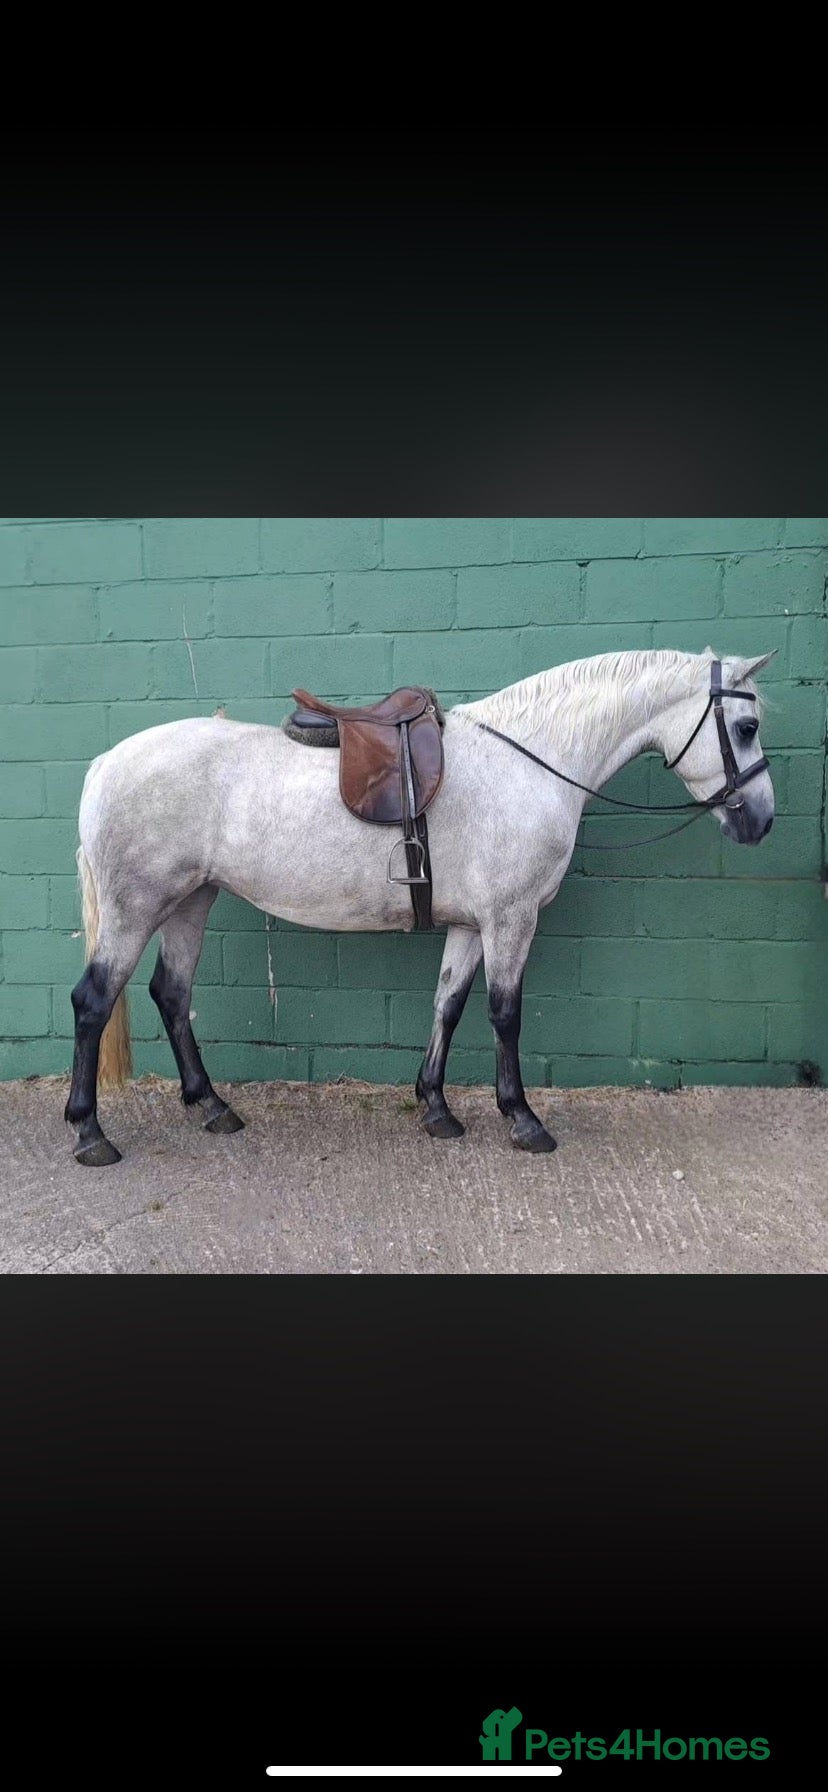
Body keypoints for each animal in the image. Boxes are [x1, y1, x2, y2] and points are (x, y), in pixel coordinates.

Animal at [65, 646, 775, 1166]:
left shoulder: (470, 924)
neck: (528, 763)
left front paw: (436, 1108)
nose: (760, 822)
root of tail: (105, 763)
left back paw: (211, 1106)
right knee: (94, 1001)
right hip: (138, 907)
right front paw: (522, 1119)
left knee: (171, 993)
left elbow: (448, 1004)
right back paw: (90, 1133)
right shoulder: (512, 918)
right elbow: (505, 1014)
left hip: (192, 899)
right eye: (746, 727)